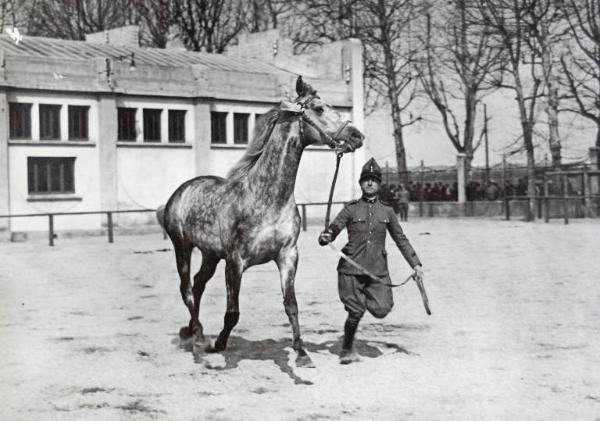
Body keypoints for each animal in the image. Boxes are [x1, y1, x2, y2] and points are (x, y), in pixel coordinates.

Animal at [158, 77, 366, 366]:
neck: (266, 198)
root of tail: (179, 192)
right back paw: (199, 340)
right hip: (183, 247)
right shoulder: (235, 262)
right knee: (186, 289)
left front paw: (301, 354)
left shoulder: (288, 256)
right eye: (319, 108)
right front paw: (219, 345)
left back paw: (190, 331)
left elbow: (291, 305)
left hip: (210, 254)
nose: (357, 136)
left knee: (198, 285)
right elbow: (233, 312)